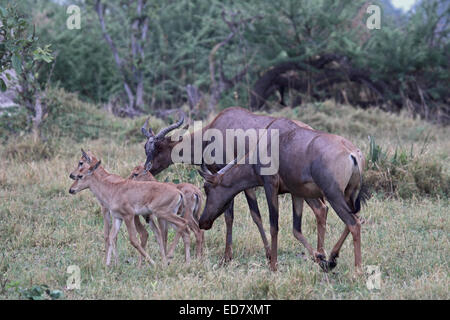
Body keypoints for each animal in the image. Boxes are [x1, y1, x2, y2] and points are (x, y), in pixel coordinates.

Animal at [197, 118, 366, 272]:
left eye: (207, 188)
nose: (202, 222)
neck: (269, 141)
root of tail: (352, 153)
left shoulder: (270, 186)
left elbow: (274, 226)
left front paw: (273, 266)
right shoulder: (296, 192)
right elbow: (296, 230)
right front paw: (321, 259)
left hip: (333, 195)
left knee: (353, 223)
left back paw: (357, 271)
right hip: (347, 195)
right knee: (355, 218)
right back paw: (332, 257)